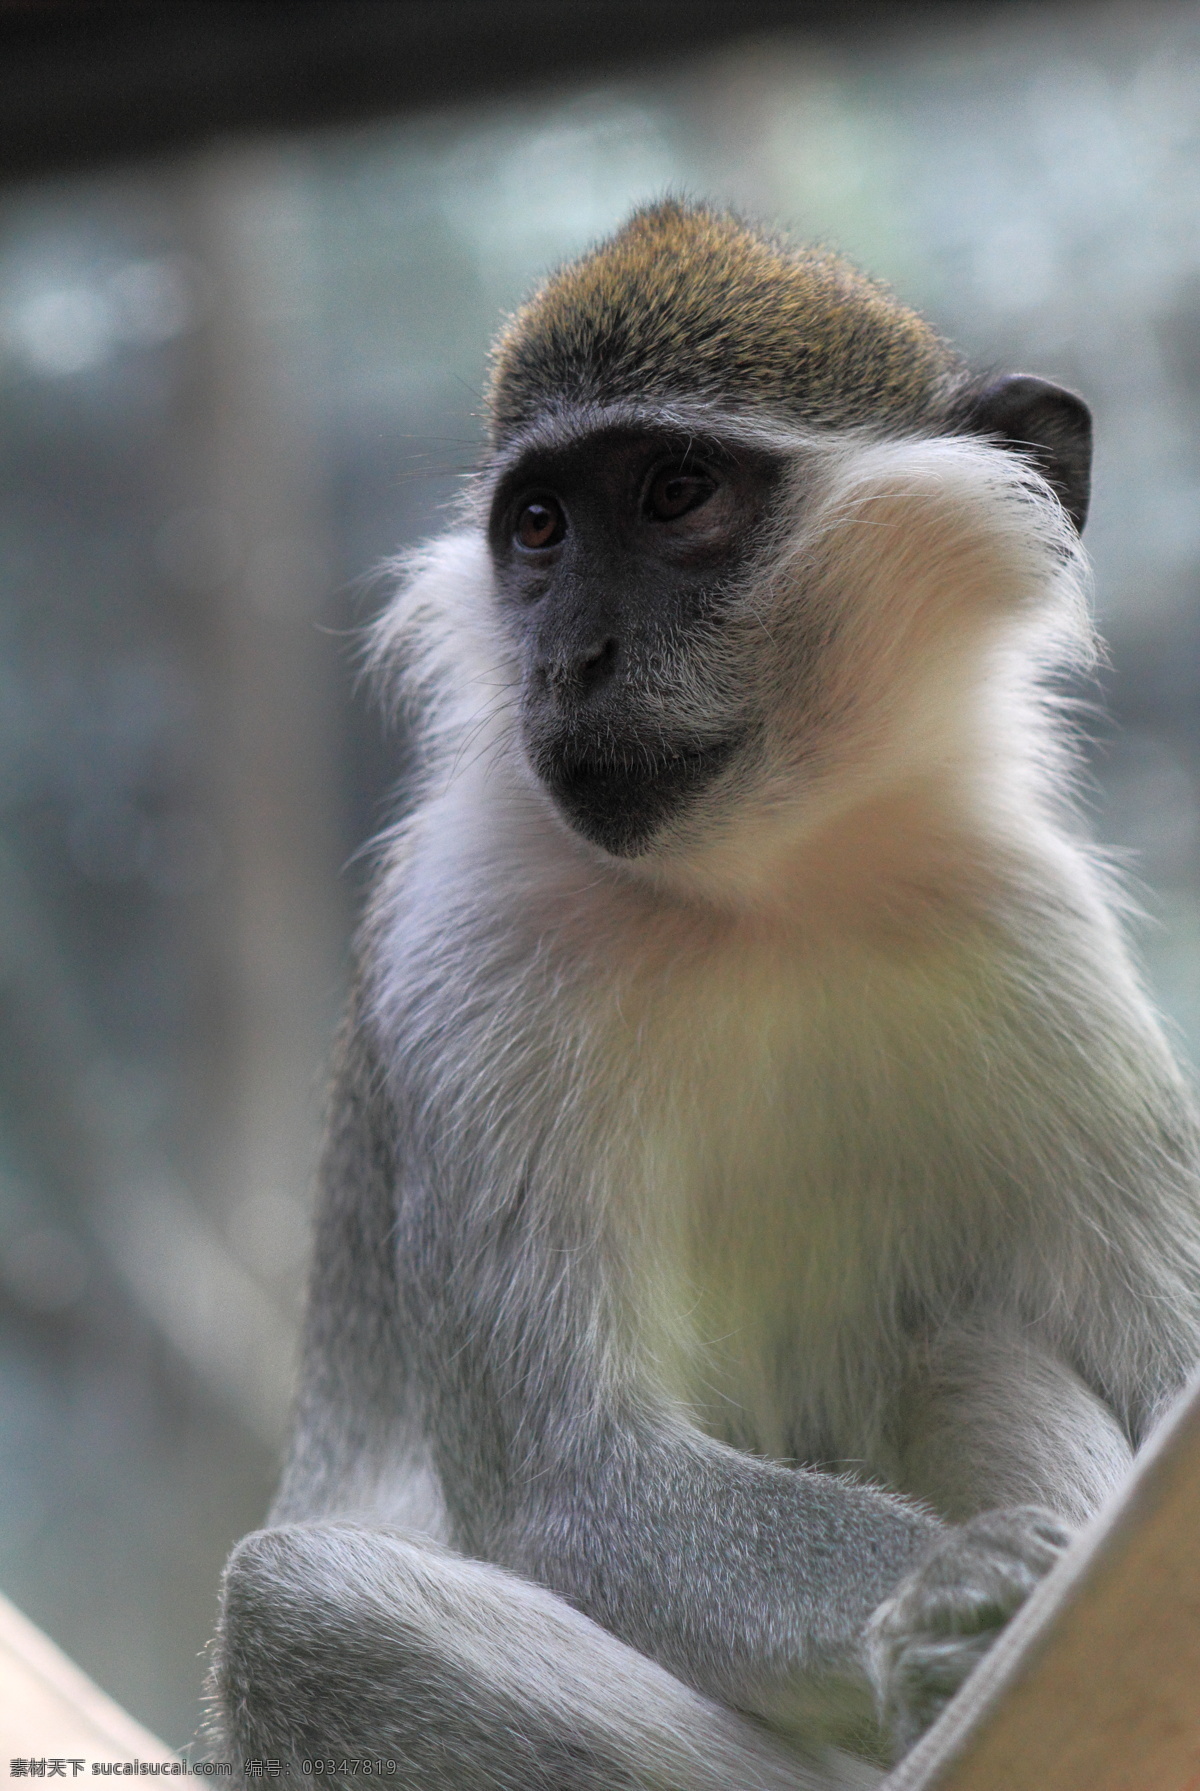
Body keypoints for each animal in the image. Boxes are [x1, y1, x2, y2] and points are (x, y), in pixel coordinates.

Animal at [211, 203, 1200, 1783]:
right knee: (303, 1605)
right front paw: (959, 1596)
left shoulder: (1031, 933)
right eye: (539, 528)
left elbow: (1170, 1366)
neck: (762, 893)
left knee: (962, 1342)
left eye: (676, 493)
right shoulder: (463, 952)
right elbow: (584, 1489)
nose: (572, 659)